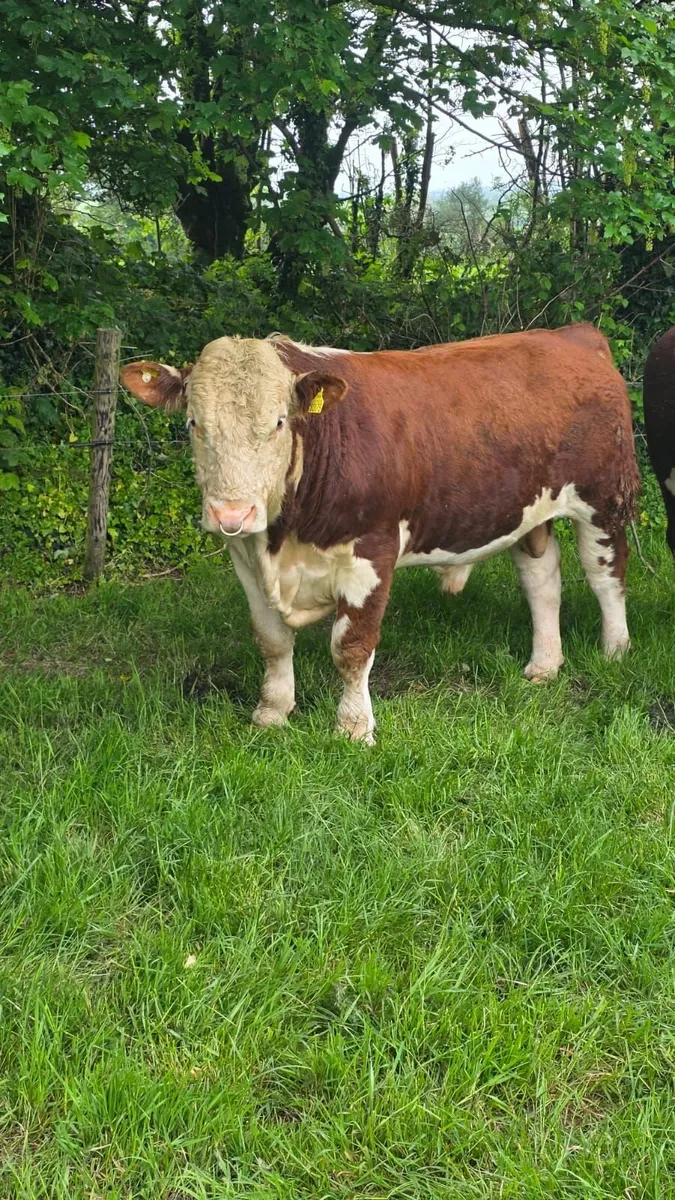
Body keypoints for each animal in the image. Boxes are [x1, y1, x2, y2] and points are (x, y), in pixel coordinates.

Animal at [121, 324, 639, 744]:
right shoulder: (246, 555)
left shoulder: (371, 553)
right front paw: (272, 712)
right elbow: (271, 639)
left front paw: (353, 728)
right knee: (542, 577)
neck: (285, 540)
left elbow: (351, 648)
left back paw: (615, 651)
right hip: (529, 509)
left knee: (606, 574)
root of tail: (573, 335)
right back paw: (544, 665)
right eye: (194, 423)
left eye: (279, 422)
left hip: (603, 500)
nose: (232, 511)